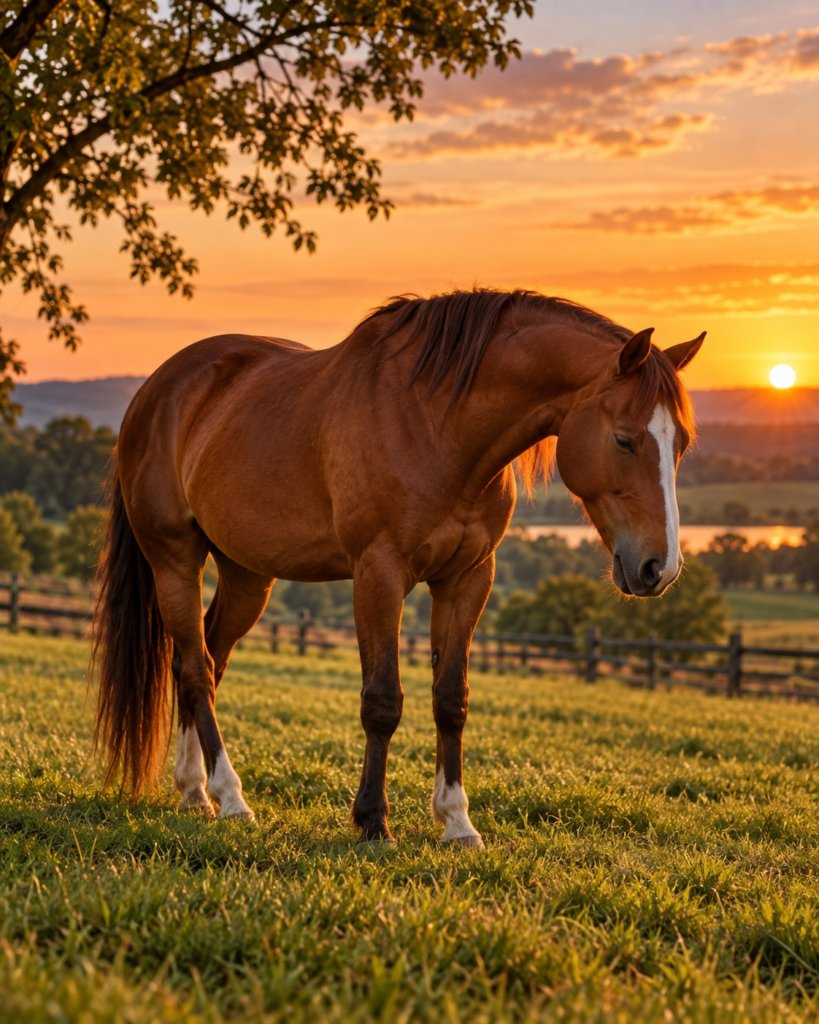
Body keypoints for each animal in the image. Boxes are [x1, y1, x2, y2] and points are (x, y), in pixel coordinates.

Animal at [92, 288, 704, 846]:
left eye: (681, 446)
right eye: (624, 439)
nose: (660, 567)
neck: (437, 426)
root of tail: (158, 388)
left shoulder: (467, 580)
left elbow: (451, 699)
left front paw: (457, 822)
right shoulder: (379, 574)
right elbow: (383, 701)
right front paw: (372, 823)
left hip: (248, 574)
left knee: (205, 663)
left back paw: (196, 790)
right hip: (175, 559)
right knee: (196, 668)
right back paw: (232, 798)